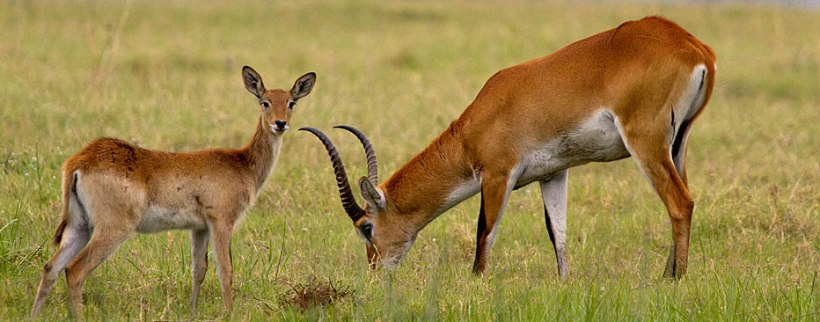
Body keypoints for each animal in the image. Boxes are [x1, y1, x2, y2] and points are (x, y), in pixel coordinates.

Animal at [30, 66, 318, 316]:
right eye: (265, 102)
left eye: (291, 102)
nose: (280, 123)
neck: (242, 164)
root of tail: (80, 160)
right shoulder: (221, 222)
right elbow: (226, 270)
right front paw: (228, 313)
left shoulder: (199, 228)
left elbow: (199, 269)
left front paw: (192, 312)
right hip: (112, 229)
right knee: (74, 270)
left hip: (80, 226)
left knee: (51, 267)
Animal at [304, 16, 716, 278]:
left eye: (366, 227)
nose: (375, 269)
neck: (477, 122)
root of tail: (694, 47)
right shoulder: (553, 174)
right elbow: (557, 233)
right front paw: (564, 282)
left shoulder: (497, 174)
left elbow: (485, 231)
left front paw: (476, 282)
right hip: (677, 144)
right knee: (683, 198)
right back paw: (669, 271)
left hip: (645, 141)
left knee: (680, 202)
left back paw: (674, 279)